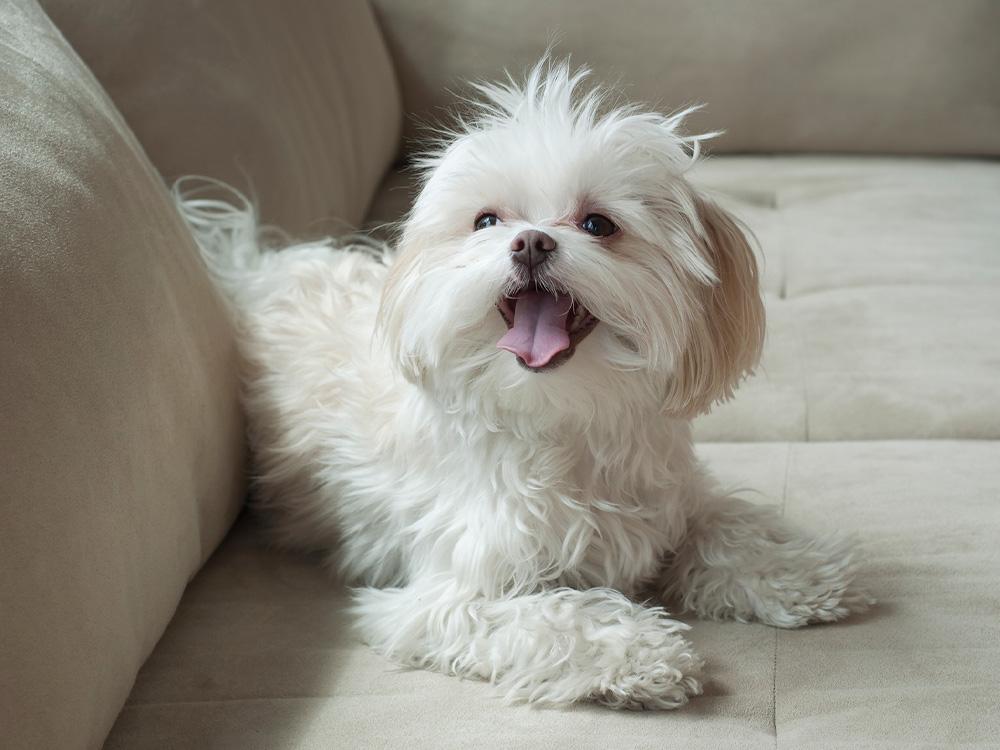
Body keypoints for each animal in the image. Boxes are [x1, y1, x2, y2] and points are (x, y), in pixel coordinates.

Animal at [184, 61, 872, 712]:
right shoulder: (450, 595)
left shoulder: (675, 496)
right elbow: (555, 615)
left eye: (598, 224)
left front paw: (797, 571)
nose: (531, 241)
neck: (564, 420)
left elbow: (726, 526)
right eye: (487, 220)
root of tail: (249, 266)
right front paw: (639, 654)